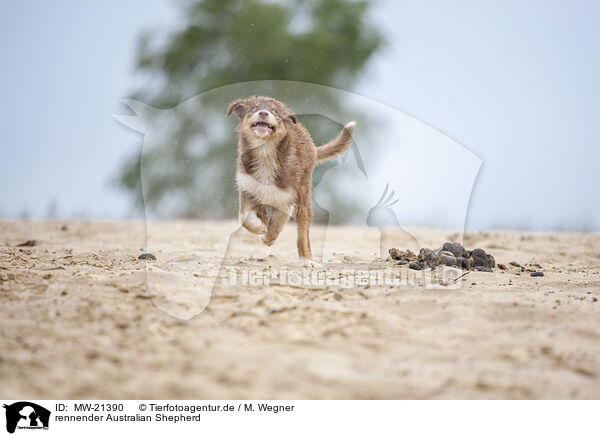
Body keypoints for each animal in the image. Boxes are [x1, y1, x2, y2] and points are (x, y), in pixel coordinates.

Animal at [227, 96, 354, 266]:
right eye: (253, 108)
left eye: (275, 111)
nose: (263, 112)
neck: (265, 152)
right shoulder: (247, 188)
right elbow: (244, 216)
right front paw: (260, 226)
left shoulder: (286, 199)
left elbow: (276, 226)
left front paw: (267, 237)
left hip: (303, 196)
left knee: (303, 232)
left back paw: (307, 260)